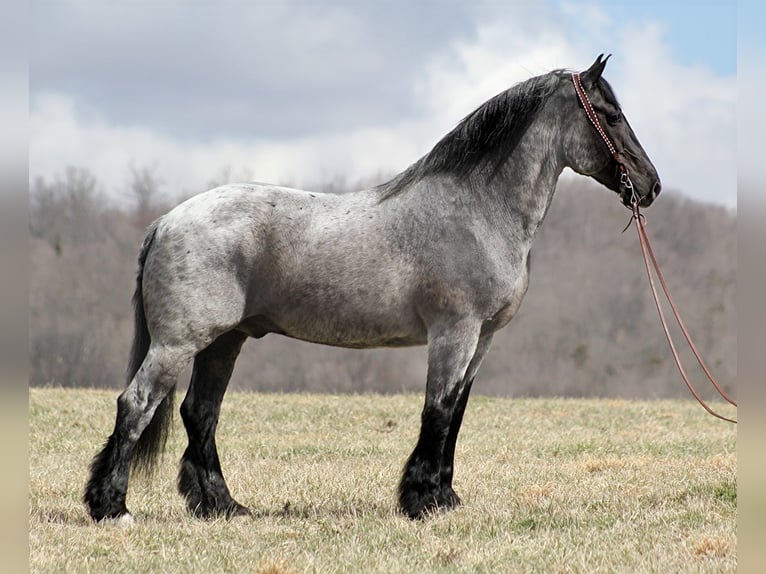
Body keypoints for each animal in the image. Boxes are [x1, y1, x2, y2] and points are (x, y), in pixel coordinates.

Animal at [82, 55, 660, 528]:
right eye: (610, 115)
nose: (650, 185)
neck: (478, 210)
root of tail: (166, 221)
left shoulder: (483, 340)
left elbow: (457, 413)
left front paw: (444, 497)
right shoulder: (454, 333)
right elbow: (437, 410)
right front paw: (421, 502)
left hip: (225, 341)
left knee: (199, 413)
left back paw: (222, 507)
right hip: (178, 343)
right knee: (136, 404)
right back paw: (113, 508)